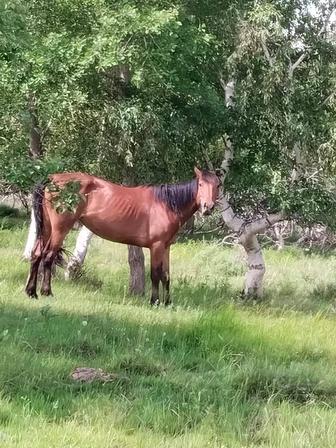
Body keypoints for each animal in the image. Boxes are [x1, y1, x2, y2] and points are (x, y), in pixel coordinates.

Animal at [26, 167, 220, 304]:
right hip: (59, 229)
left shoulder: (166, 247)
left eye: (218, 185)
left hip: (47, 228)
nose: (208, 207)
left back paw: (31, 292)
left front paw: (168, 303)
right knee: (48, 257)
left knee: (36, 254)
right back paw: (46, 292)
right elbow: (155, 274)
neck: (166, 204)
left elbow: (166, 275)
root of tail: (53, 179)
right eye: (200, 185)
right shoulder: (156, 246)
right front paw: (155, 301)